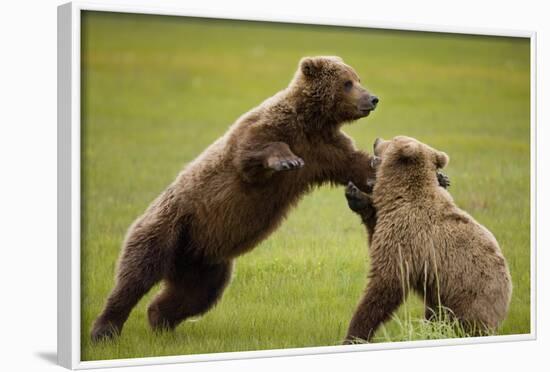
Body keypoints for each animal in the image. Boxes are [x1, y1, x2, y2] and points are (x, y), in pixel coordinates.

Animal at [91, 56, 384, 342]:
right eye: (348, 82)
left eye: (357, 78)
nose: (373, 98)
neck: (311, 122)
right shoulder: (269, 131)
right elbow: (252, 153)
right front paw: (287, 160)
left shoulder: (325, 150)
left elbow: (355, 164)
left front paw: (375, 168)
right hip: (168, 226)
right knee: (137, 274)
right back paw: (105, 329)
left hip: (204, 262)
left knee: (194, 294)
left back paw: (160, 321)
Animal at [344, 137, 512, 342]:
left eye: (393, 138)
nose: (377, 140)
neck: (400, 194)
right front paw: (356, 195)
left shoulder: (408, 236)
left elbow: (387, 282)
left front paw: (355, 334)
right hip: (441, 298)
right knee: (435, 316)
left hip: (470, 297)